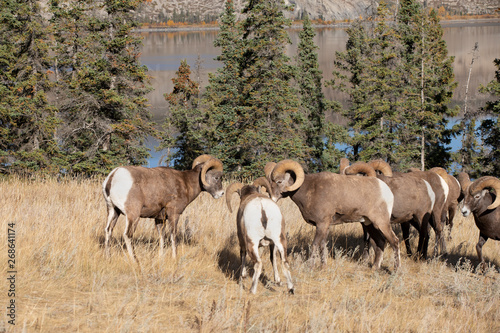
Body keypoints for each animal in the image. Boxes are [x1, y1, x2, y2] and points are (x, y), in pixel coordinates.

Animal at [266, 158, 402, 270]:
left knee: (394, 241)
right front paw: (323, 266)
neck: (309, 190)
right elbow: (322, 246)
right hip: (370, 225)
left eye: (279, 181)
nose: (272, 198)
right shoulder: (324, 226)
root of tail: (386, 191)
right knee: (381, 242)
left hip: (381, 223)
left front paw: (310, 266)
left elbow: (315, 245)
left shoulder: (322, 224)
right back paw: (375, 268)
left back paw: (396, 271)